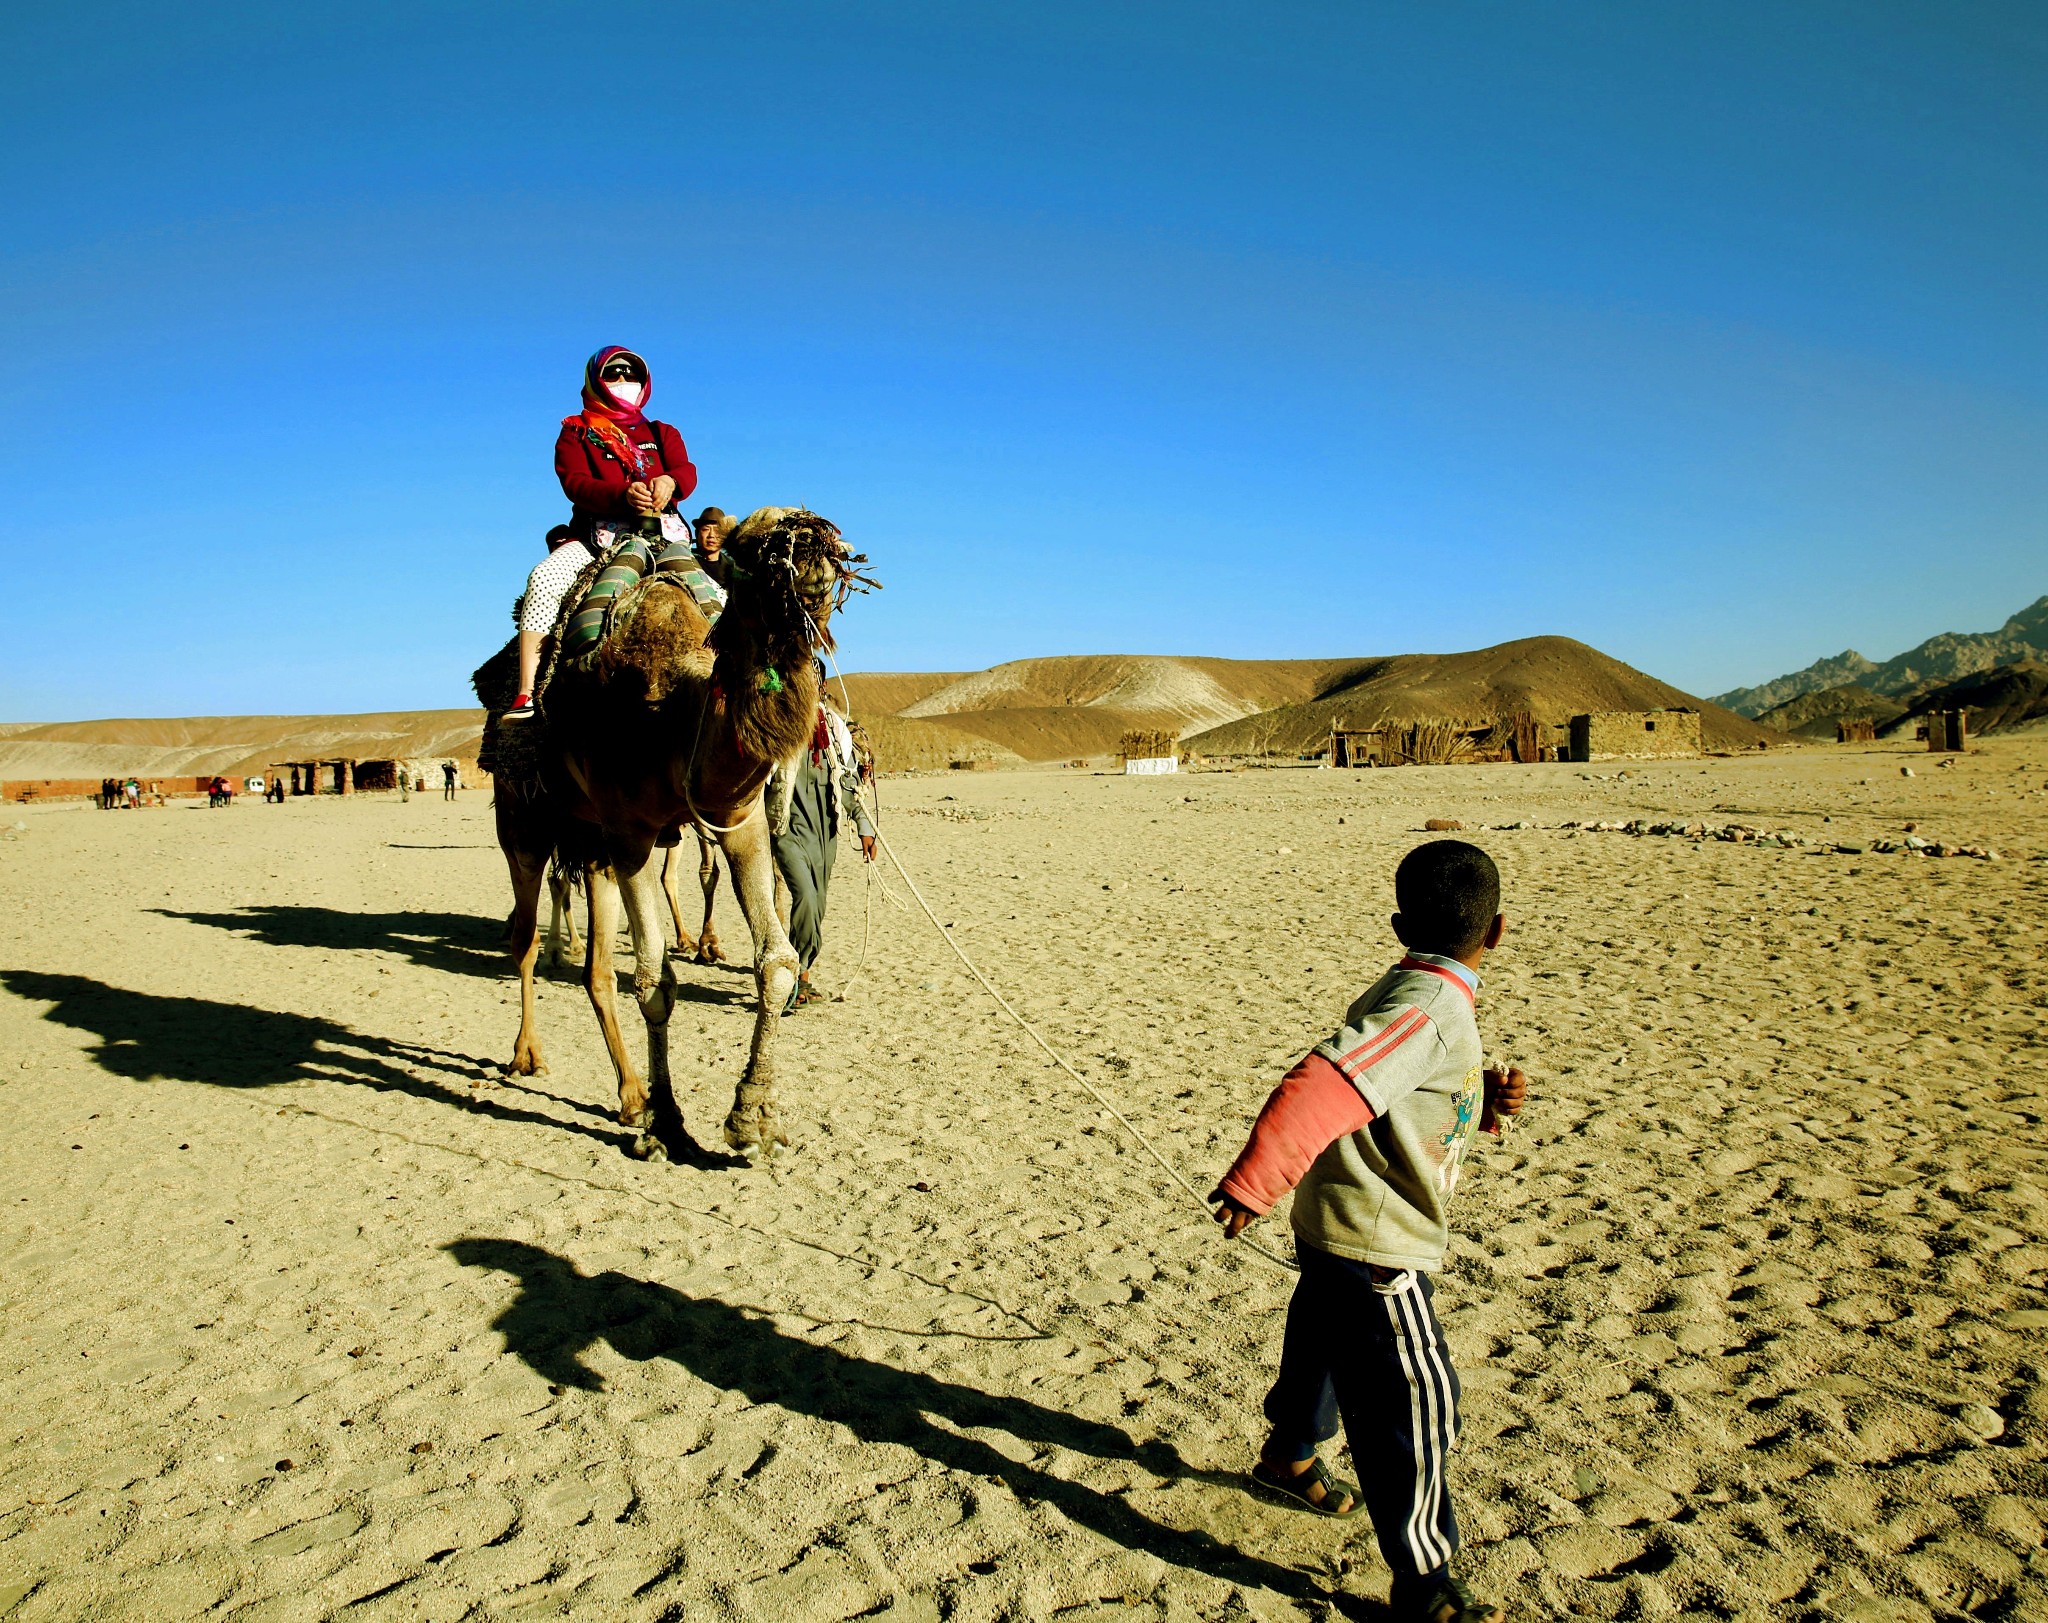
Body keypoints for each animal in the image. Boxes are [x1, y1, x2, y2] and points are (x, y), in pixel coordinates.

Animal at [487, 508, 872, 1155]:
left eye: (828, 536)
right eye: (752, 548)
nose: (811, 546)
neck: (670, 713)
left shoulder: (737, 822)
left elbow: (776, 961)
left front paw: (753, 1116)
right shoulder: (631, 833)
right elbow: (654, 981)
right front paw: (669, 1122)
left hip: (593, 846)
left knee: (596, 971)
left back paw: (629, 1097)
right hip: (524, 823)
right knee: (524, 936)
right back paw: (528, 1055)